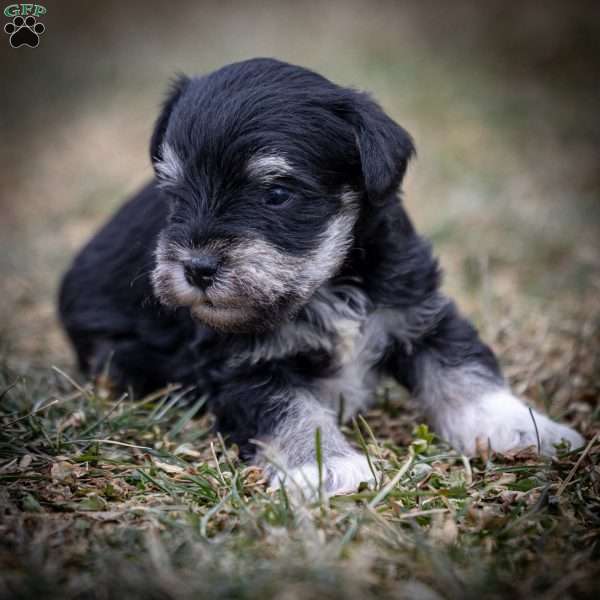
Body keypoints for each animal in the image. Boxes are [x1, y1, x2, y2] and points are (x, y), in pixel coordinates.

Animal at [58, 58, 584, 494]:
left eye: (276, 193)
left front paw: (522, 427)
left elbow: (464, 369)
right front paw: (325, 466)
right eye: (173, 191)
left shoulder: (419, 312)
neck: (327, 284)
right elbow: (294, 410)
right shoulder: (246, 367)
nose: (196, 268)